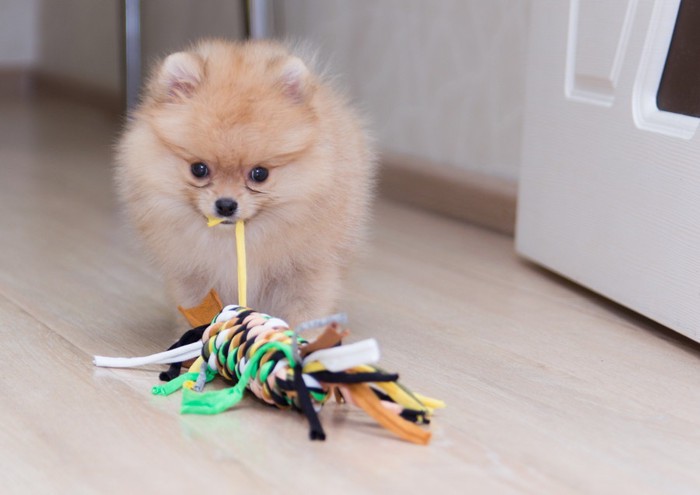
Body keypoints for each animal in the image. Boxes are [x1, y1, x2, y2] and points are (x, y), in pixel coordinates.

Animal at [116, 39, 378, 326]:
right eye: (199, 169)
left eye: (260, 174)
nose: (226, 205)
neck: (234, 239)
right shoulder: (192, 275)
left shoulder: (306, 271)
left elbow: (305, 312)